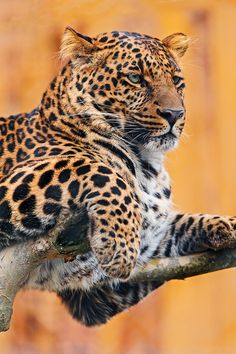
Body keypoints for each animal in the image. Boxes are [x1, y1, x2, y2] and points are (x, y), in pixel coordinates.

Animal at [0, 27, 236, 326]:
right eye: (135, 78)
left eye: (176, 81)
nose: (175, 114)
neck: (147, 165)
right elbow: (95, 168)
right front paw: (119, 248)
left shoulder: (101, 292)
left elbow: (183, 221)